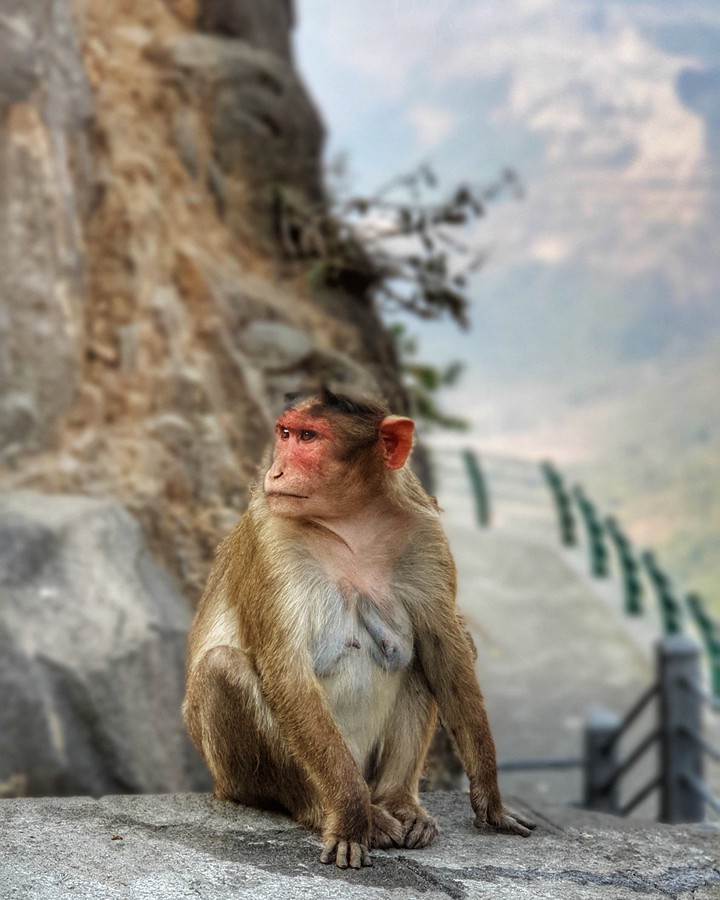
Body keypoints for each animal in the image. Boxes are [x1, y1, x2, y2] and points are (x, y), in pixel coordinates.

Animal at [183, 390, 534, 869]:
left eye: (308, 437)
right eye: (285, 433)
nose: (274, 470)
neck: (352, 522)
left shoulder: (424, 531)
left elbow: (445, 649)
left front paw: (490, 796)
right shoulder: (269, 535)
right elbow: (287, 674)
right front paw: (350, 819)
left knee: (422, 652)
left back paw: (398, 800)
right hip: (241, 779)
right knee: (222, 666)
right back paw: (329, 806)